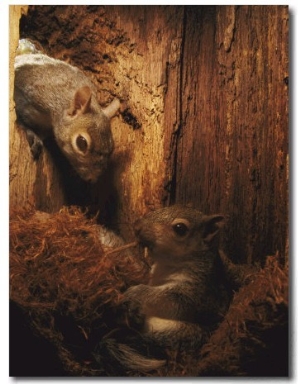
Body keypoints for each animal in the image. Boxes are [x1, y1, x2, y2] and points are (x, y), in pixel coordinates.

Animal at [13, 45, 119, 183]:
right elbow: (20, 117)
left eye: (112, 148)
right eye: (82, 143)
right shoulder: (29, 96)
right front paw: (32, 134)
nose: (92, 179)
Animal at [95, 206, 240, 374]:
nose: (137, 226)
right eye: (160, 209)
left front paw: (134, 293)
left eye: (180, 228)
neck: (167, 263)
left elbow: (167, 299)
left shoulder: (198, 294)